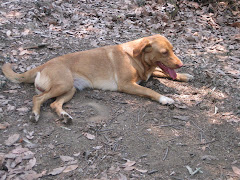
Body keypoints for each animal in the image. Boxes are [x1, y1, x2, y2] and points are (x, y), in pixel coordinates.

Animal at [1, 34, 193, 123]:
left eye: (172, 49)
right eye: (164, 52)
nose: (181, 64)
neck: (135, 57)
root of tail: (42, 65)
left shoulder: (147, 73)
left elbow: (162, 73)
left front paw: (185, 75)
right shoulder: (127, 85)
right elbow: (149, 90)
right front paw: (165, 98)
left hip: (69, 89)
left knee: (54, 104)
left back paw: (64, 115)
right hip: (63, 85)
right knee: (37, 98)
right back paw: (35, 114)